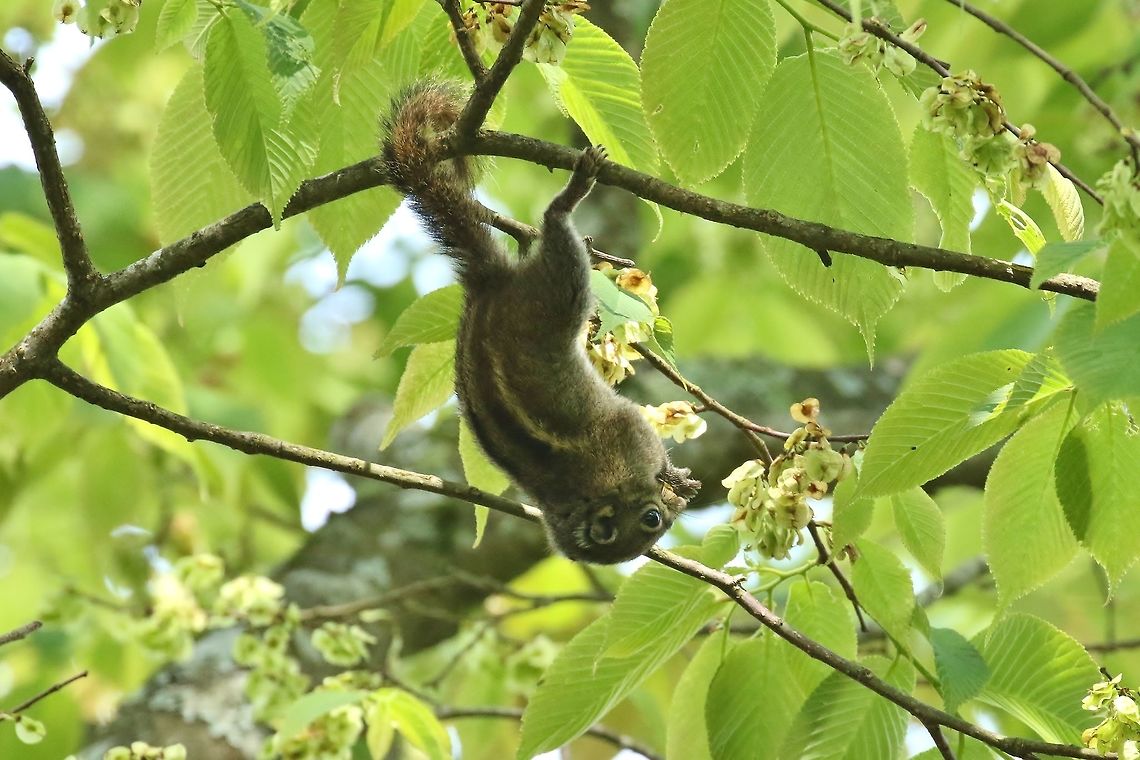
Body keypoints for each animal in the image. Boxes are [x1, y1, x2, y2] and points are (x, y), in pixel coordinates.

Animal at [381, 81, 700, 564]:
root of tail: (490, 286)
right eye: (651, 521)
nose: (671, 509)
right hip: (561, 289)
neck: (578, 496)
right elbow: (643, 437)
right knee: (557, 232)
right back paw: (570, 196)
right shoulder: (626, 438)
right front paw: (676, 478)